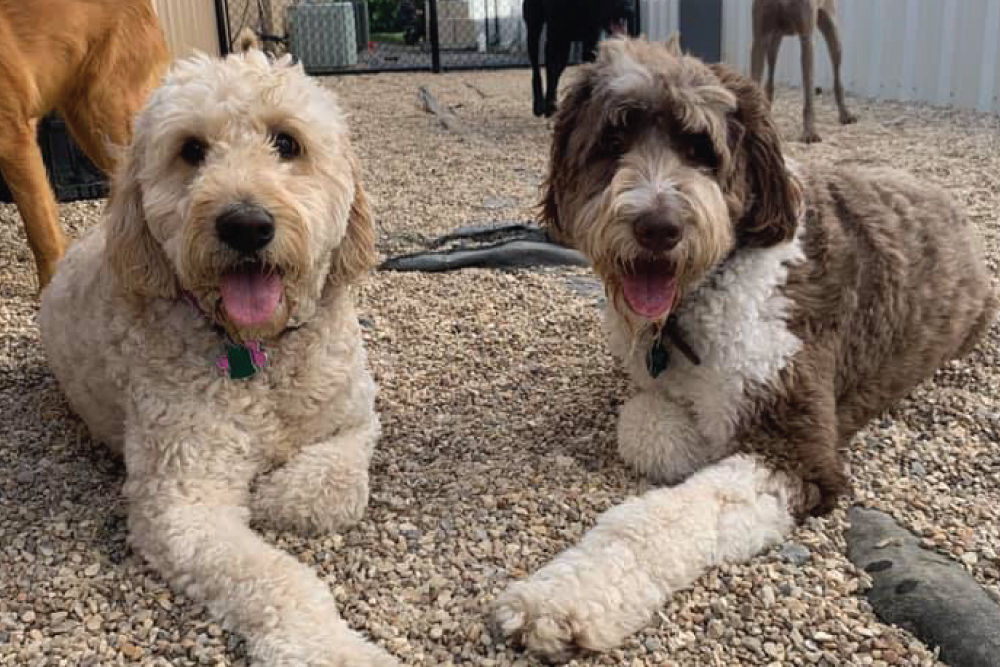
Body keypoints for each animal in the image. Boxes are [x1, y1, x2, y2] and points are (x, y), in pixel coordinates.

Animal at [40, 49, 398, 664]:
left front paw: (277, 493)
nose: (246, 225)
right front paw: (335, 648)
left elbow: (338, 483)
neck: (261, 354)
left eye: (287, 142)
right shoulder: (184, 502)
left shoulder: (355, 416)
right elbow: (280, 580)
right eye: (191, 150)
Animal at [494, 39, 1000, 660]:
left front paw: (555, 601)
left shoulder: (794, 443)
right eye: (614, 140)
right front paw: (688, 436)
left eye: (700, 149)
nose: (658, 227)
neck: (700, 294)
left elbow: (664, 514)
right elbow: (641, 423)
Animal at [752, 0, 856, 141]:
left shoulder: (807, 39)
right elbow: (754, 82)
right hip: (774, 40)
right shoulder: (760, 38)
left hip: (833, 32)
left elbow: (808, 92)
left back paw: (845, 114)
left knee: (837, 74)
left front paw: (810, 132)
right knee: (770, 77)